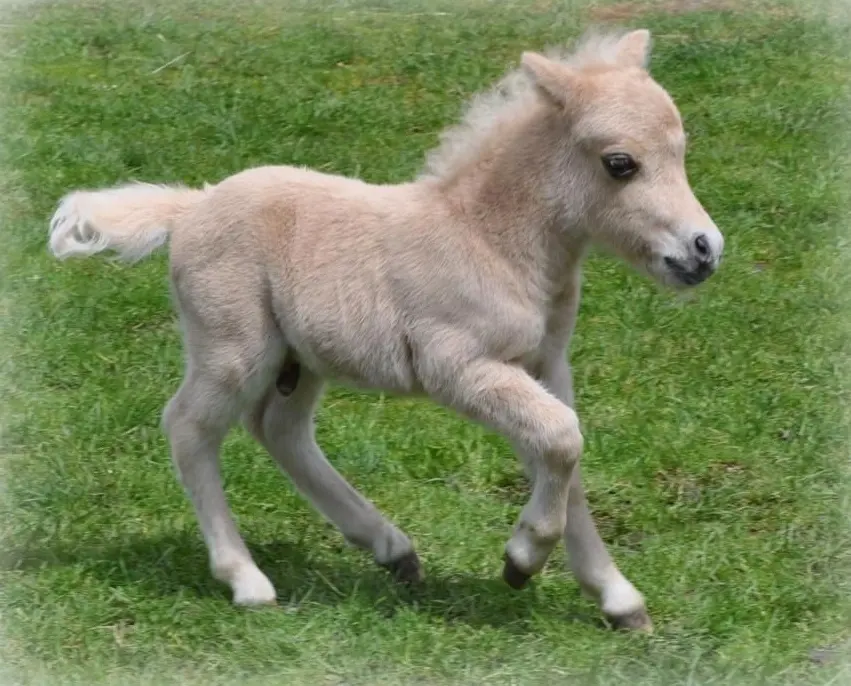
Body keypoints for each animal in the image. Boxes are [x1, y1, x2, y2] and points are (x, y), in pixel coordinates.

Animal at [47, 28, 723, 632]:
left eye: (682, 150)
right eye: (620, 163)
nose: (704, 250)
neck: (490, 239)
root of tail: (189, 207)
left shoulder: (547, 363)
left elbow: (566, 457)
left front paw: (617, 598)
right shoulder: (456, 364)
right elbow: (560, 438)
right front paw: (522, 559)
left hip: (301, 357)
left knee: (279, 429)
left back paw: (392, 550)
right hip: (233, 345)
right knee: (189, 427)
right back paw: (248, 581)